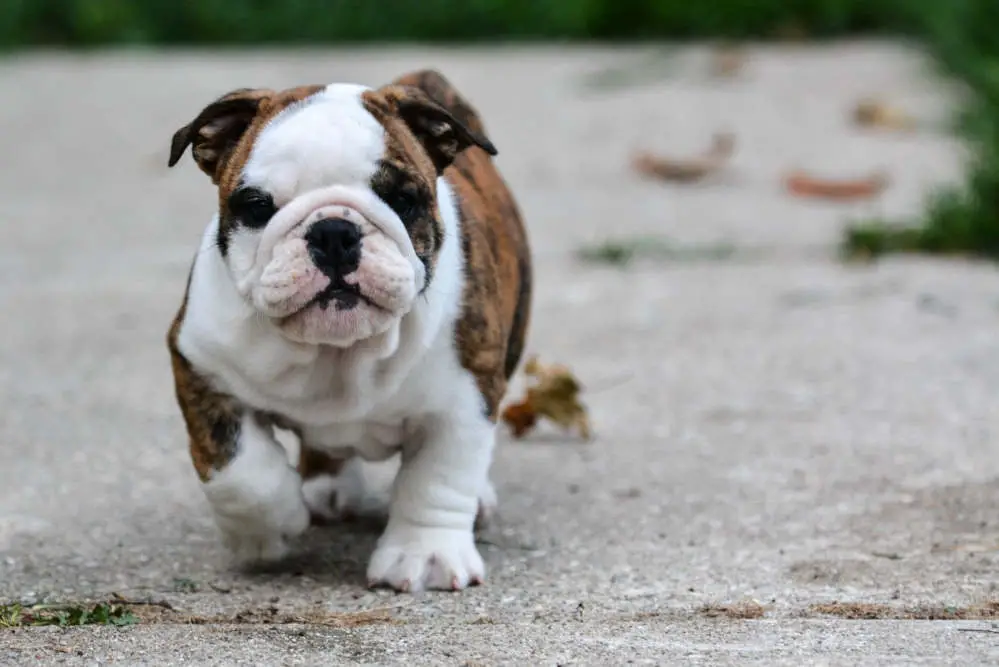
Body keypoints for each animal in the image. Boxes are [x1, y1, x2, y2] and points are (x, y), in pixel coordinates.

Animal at [166, 70, 532, 592]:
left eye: (403, 200)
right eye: (256, 206)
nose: (334, 232)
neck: (338, 350)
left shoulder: (466, 393)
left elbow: (439, 476)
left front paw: (425, 555)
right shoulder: (201, 368)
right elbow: (237, 469)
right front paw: (268, 529)